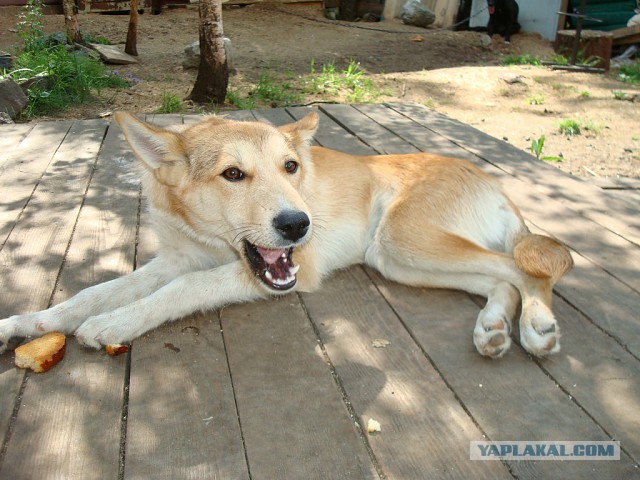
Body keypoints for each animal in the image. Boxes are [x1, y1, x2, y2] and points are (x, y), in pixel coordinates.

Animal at [0, 112, 572, 358]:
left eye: (291, 166)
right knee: (501, 280)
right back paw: (493, 327)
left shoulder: (273, 270)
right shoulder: (176, 260)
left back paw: (536, 326)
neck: (212, 240)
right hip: (401, 260)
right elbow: (98, 290)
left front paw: (115, 323)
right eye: (233, 174)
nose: (300, 225)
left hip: (401, 241)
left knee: (524, 270)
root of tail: (494, 182)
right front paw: (31, 321)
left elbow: (179, 292)